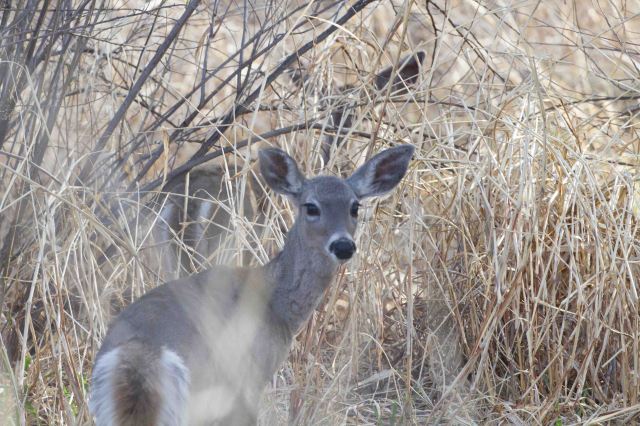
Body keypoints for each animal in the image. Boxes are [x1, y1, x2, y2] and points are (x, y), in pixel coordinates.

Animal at [89, 144, 414, 425]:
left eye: (354, 207)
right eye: (311, 207)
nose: (344, 245)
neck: (276, 302)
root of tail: (141, 354)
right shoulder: (250, 378)